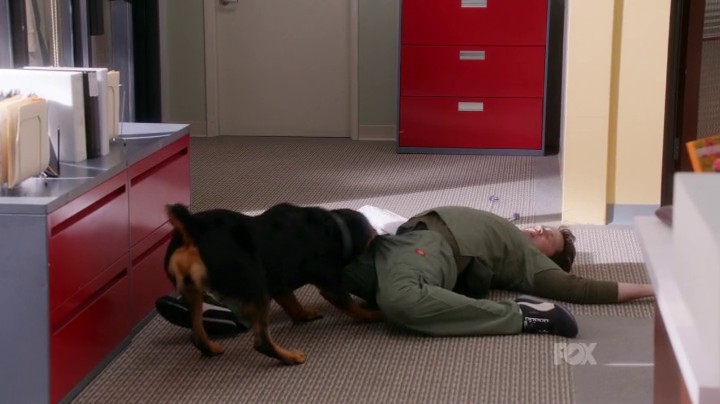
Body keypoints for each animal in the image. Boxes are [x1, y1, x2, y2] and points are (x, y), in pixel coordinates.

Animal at [163, 202, 382, 365]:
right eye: (371, 240)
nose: (380, 240)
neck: (336, 228)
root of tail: (192, 230)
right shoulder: (329, 283)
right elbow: (351, 305)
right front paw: (371, 315)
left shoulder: (279, 286)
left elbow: (294, 306)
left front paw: (305, 316)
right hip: (256, 289)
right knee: (261, 342)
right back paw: (290, 357)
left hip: (193, 292)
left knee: (197, 334)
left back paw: (210, 349)